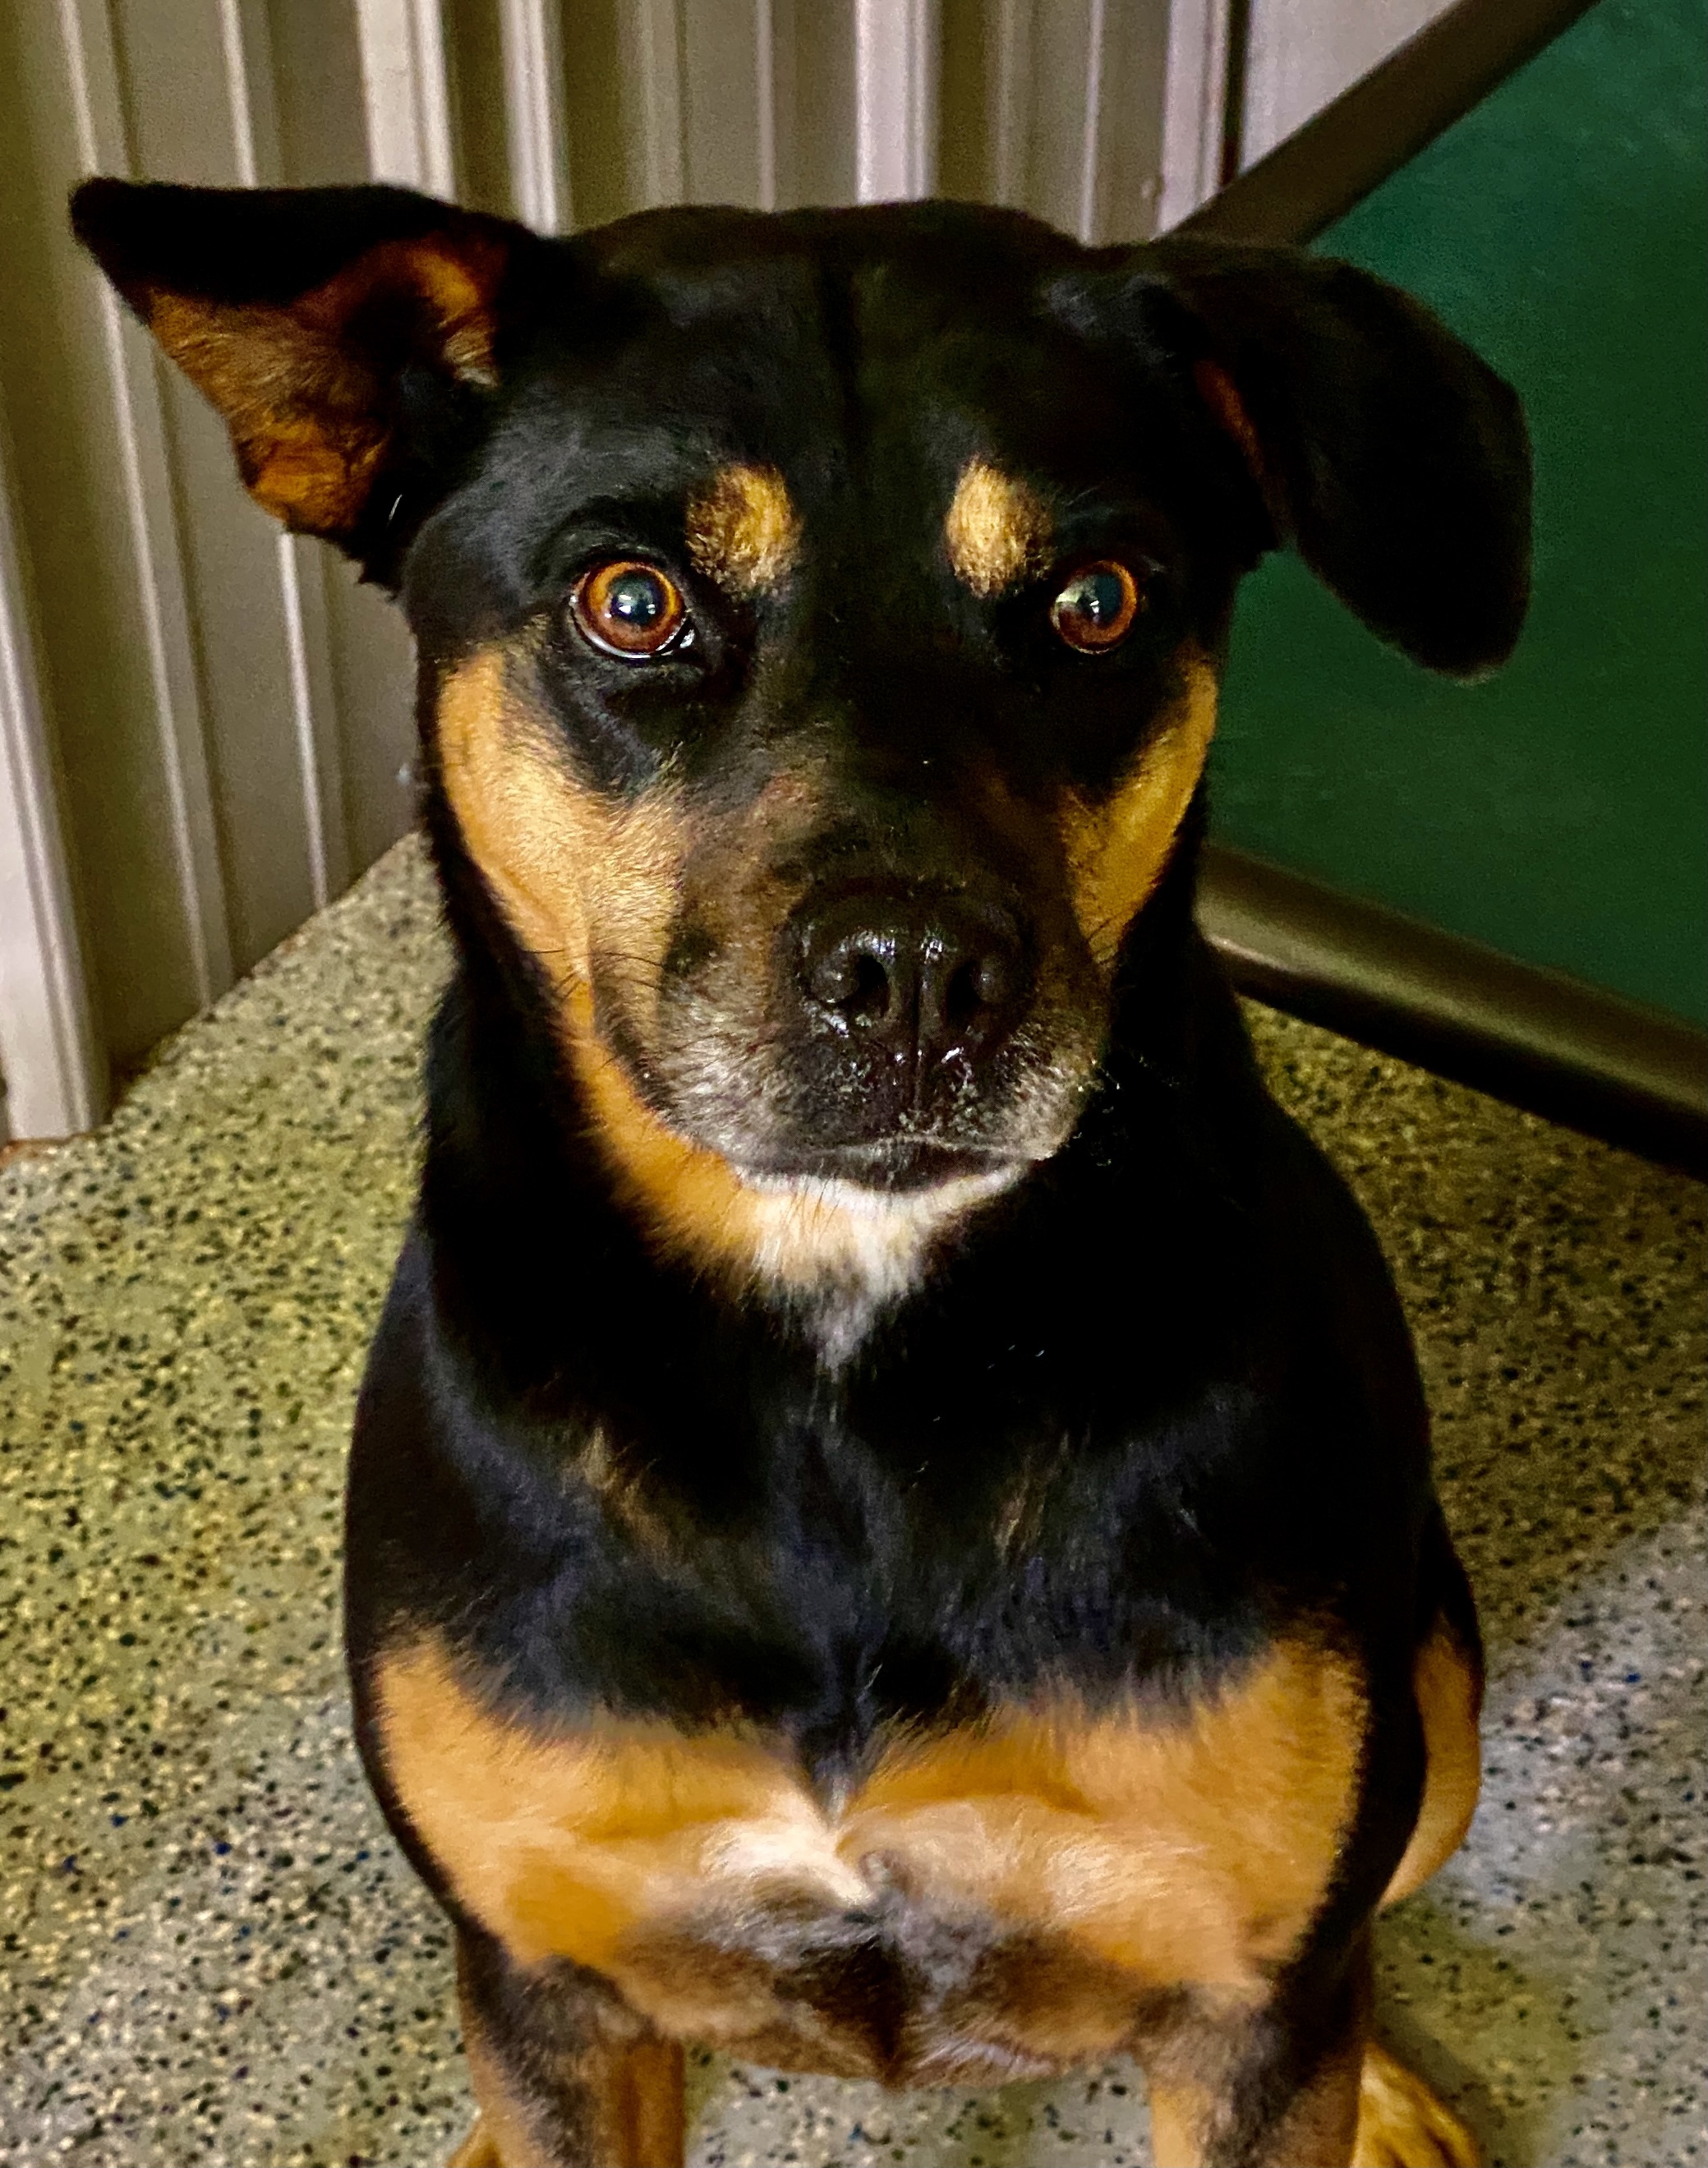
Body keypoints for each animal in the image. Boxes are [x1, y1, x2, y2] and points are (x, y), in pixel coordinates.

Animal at [73, 173, 1526, 2168]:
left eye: (1094, 600)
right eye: (632, 600)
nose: (915, 976)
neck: (836, 1347)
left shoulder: (1246, 1979)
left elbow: (1297, 1979)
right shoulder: (544, 1954)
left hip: (1431, 1694)